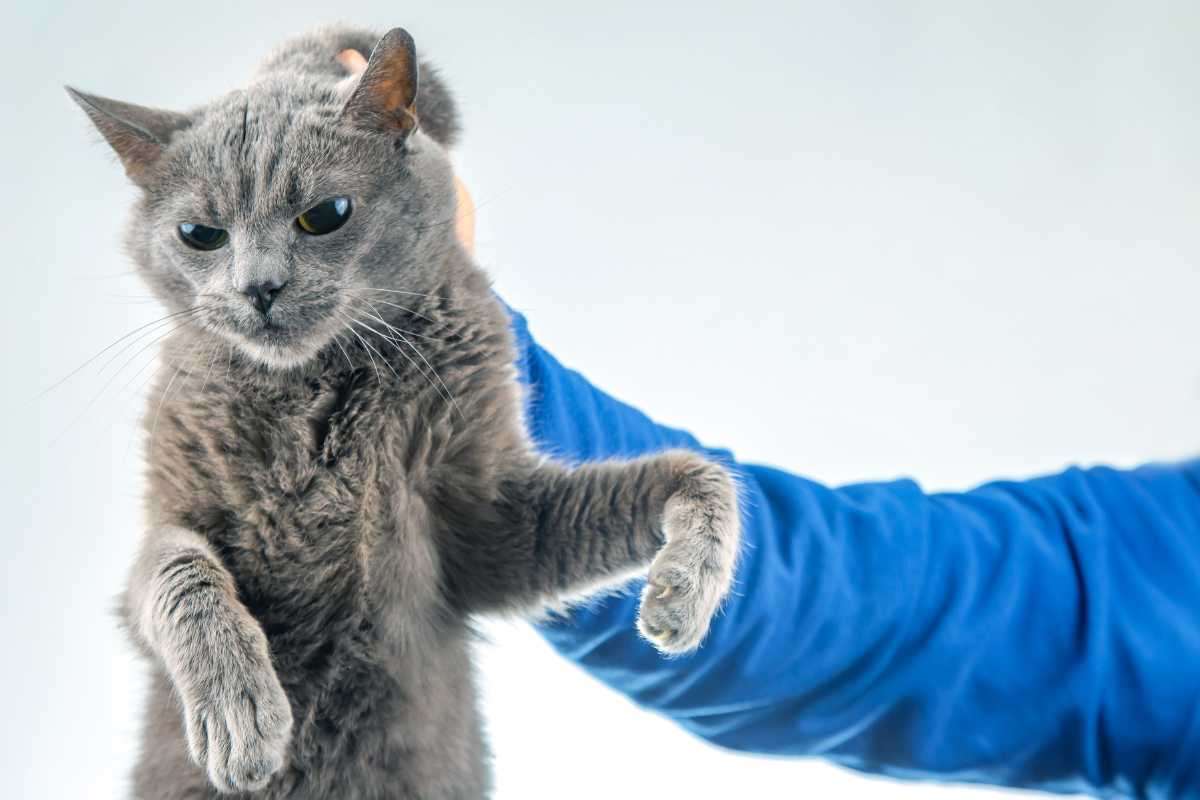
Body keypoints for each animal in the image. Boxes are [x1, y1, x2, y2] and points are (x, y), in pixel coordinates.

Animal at [72, 25, 739, 800]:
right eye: (199, 234)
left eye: (325, 215)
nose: (258, 287)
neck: (317, 386)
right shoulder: (174, 508)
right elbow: (175, 574)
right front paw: (241, 714)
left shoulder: (487, 526)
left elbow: (701, 475)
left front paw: (683, 590)